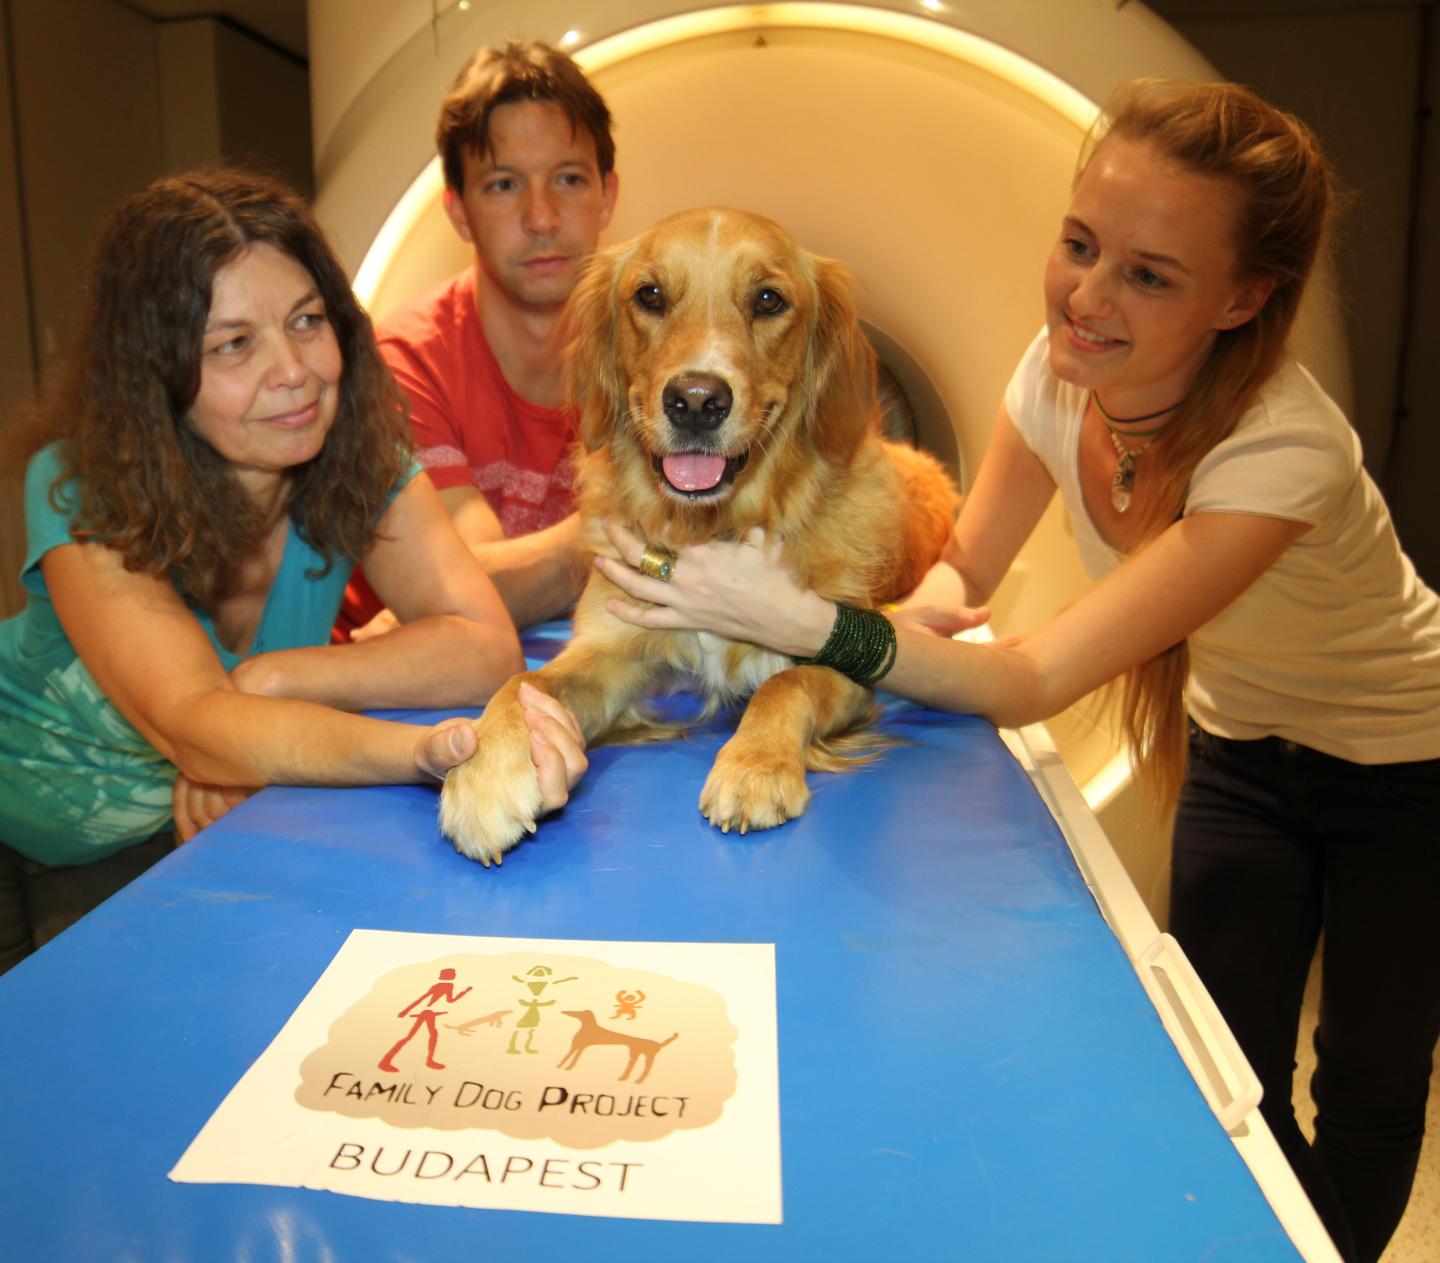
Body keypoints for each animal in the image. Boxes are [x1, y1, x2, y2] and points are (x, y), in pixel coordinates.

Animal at [437, 208, 956, 869]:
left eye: (769, 299)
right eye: (650, 295)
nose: (696, 401)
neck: (713, 530)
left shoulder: (853, 669)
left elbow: (786, 683)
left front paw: (755, 765)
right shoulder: (609, 651)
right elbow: (522, 682)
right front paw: (485, 772)